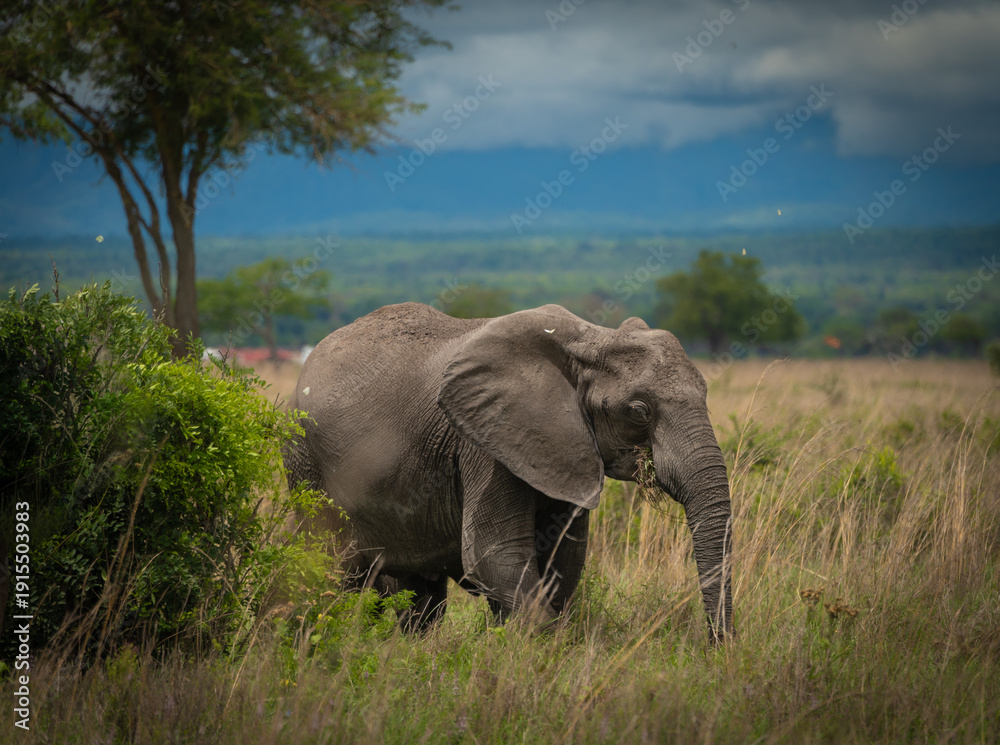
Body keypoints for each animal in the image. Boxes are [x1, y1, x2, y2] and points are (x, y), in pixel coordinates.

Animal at [284, 302, 733, 642]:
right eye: (639, 410)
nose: (716, 648)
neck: (591, 339)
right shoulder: (485, 442)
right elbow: (493, 554)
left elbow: (563, 559)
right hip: (307, 466)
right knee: (331, 575)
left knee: (420, 599)